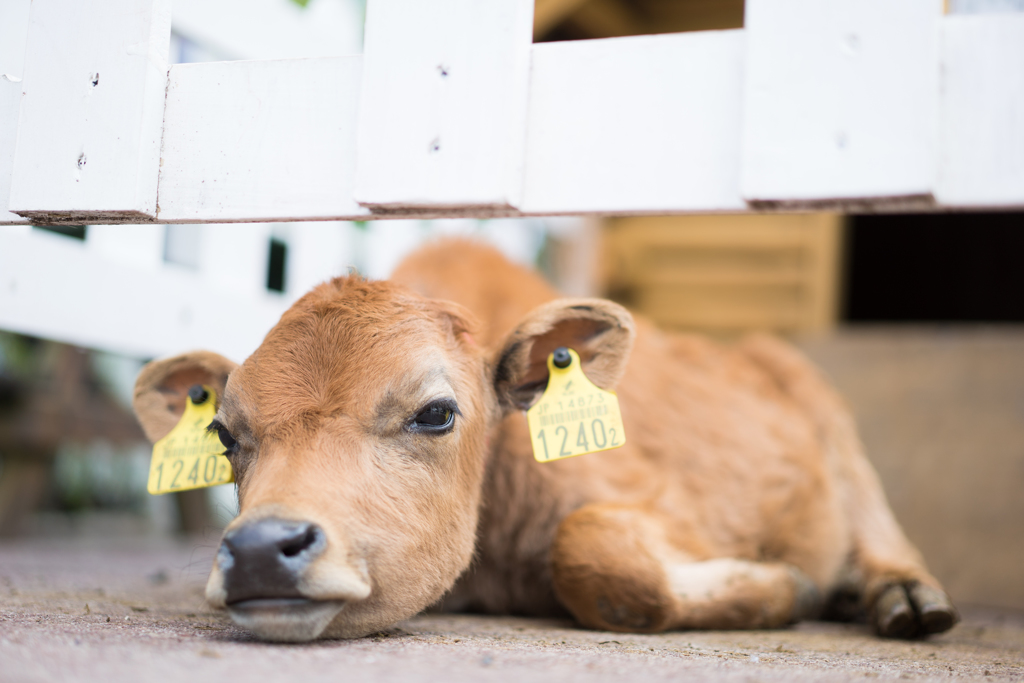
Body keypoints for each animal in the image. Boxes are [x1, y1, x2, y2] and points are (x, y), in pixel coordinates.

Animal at [132, 239, 954, 643]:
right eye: (223, 431)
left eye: (436, 413)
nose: (261, 547)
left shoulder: (669, 512)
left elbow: (595, 556)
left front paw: (785, 588)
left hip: (834, 425)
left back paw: (900, 594)